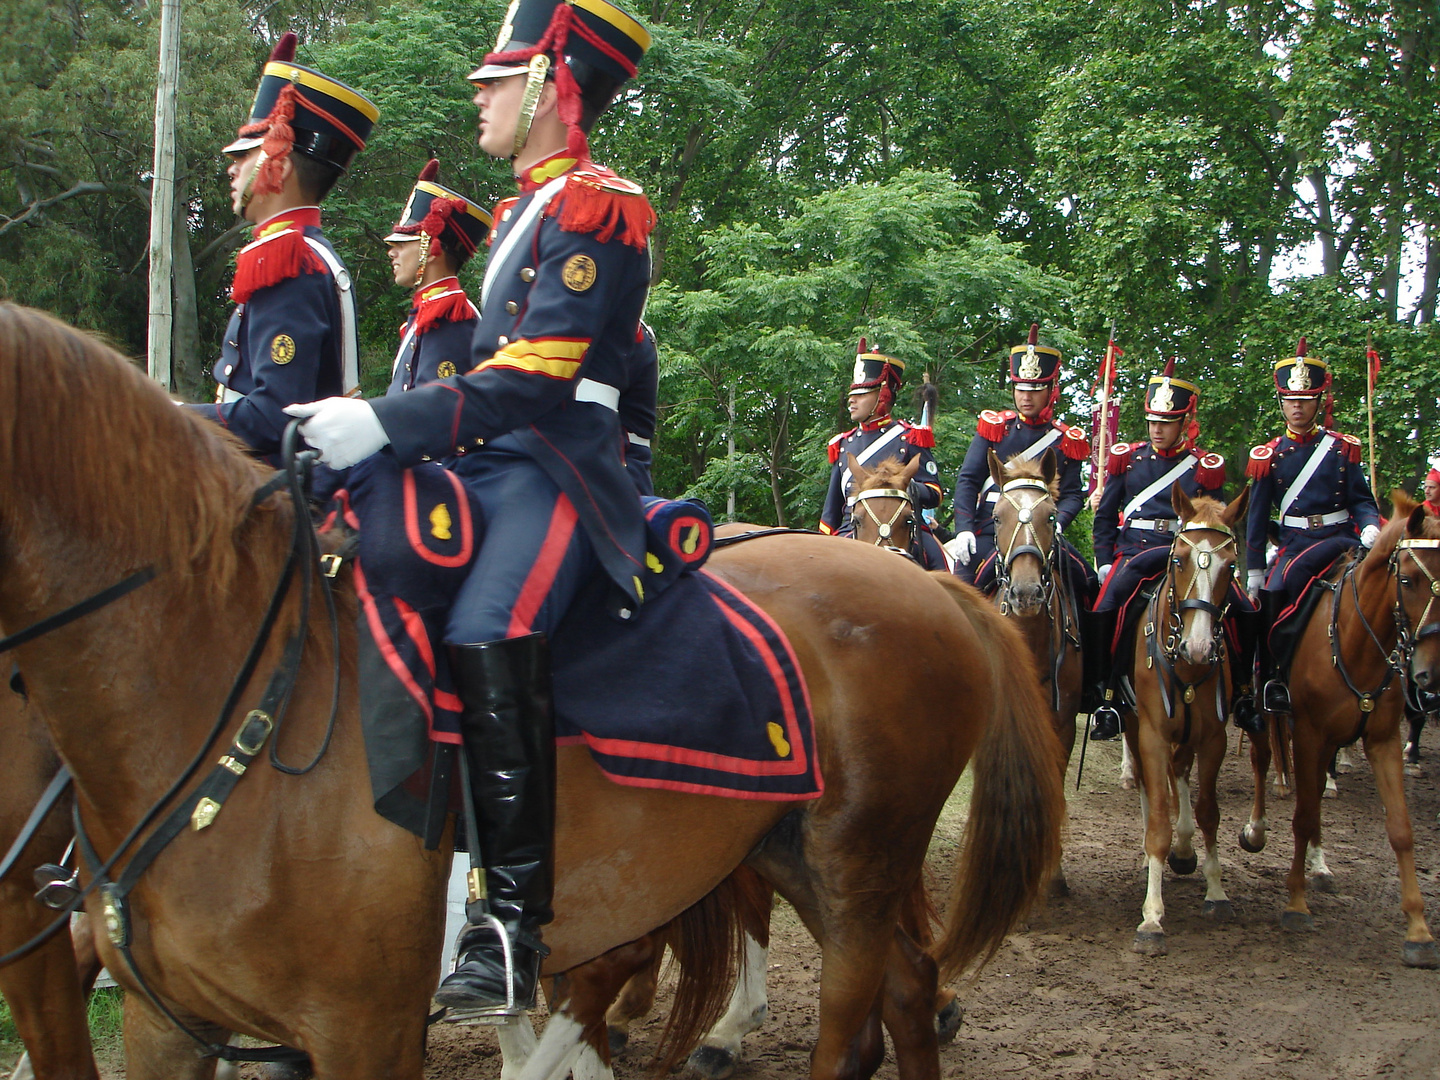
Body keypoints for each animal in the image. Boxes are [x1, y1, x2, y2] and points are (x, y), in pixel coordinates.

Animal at [0, 306, 1065, 1080]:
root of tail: (924, 584)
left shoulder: (363, 1026)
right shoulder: (163, 1021)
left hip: (856, 860)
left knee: (851, 1031)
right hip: (791, 850)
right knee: (904, 987)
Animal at [1117, 483, 1244, 956]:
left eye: (1231, 565)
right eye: (1179, 560)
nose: (1199, 646)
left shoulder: (1214, 738)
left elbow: (1209, 811)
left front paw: (1217, 891)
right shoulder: (1152, 733)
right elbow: (1157, 819)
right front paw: (1152, 916)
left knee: (1181, 776)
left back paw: (1186, 850)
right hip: (1135, 728)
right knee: (1151, 786)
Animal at [1244, 495, 1434, 967]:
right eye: (1408, 579)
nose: (1428, 672)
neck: (1356, 637)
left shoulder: (1380, 740)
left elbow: (1400, 828)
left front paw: (1418, 930)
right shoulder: (1309, 731)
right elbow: (1302, 815)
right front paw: (1296, 904)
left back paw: (1320, 862)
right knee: (1263, 761)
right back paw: (1256, 829)